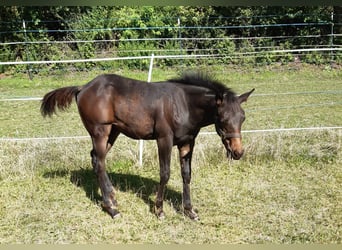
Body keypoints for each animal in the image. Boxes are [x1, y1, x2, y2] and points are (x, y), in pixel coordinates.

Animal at [40, 71, 254, 220]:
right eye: (223, 119)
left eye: (243, 118)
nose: (238, 152)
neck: (184, 104)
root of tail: (82, 88)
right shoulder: (164, 139)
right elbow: (165, 173)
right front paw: (159, 210)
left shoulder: (187, 142)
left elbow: (186, 175)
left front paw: (189, 211)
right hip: (100, 131)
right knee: (99, 162)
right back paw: (112, 209)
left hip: (113, 132)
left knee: (95, 159)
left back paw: (112, 198)